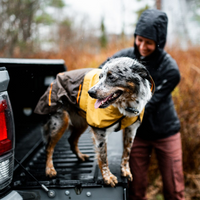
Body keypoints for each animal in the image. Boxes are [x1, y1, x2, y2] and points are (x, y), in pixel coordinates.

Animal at [34, 56, 154, 188]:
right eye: (100, 77)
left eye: (111, 77)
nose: (90, 93)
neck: (126, 106)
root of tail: (54, 79)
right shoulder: (100, 130)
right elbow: (103, 157)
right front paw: (107, 177)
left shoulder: (131, 129)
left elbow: (126, 153)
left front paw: (125, 171)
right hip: (61, 122)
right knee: (48, 147)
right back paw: (50, 169)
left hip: (82, 123)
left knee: (71, 140)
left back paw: (80, 156)